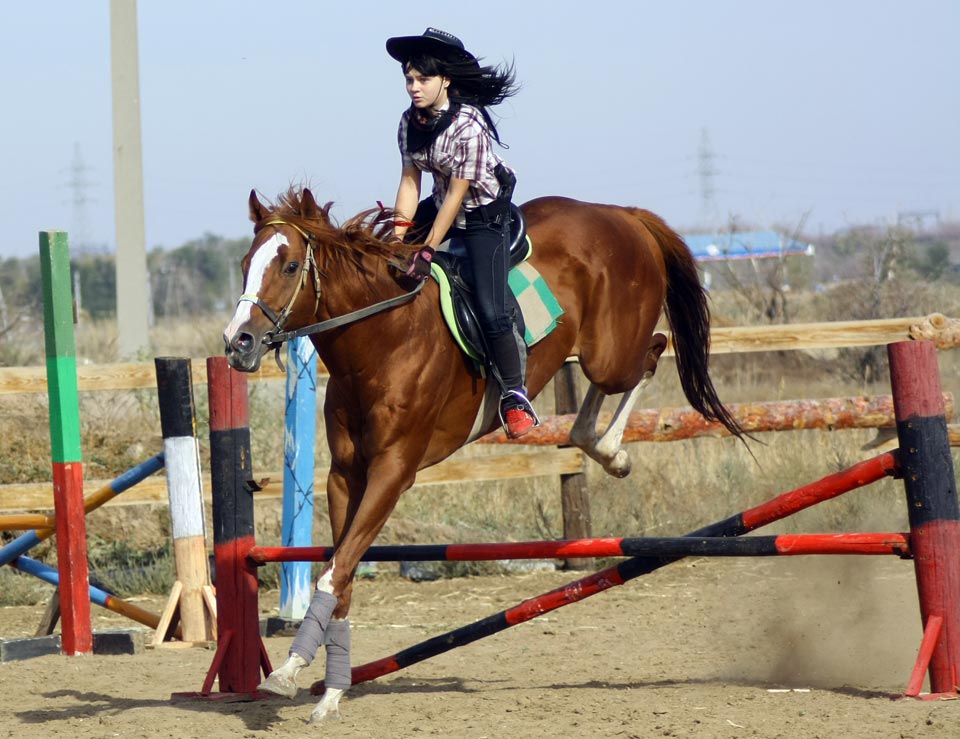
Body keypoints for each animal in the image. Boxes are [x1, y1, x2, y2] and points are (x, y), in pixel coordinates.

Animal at [223, 186, 744, 724]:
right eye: (244, 264)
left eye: (288, 266)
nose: (237, 343)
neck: (381, 339)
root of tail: (622, 214)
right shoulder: (346, 476)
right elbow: (341, 574)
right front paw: (329, 691)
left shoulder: (393, 471)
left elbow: (334, 572)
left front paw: (289, 672)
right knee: (597, 408)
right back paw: (594, 443)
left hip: (611, 352)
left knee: (651, 353)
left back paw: (612, 453)